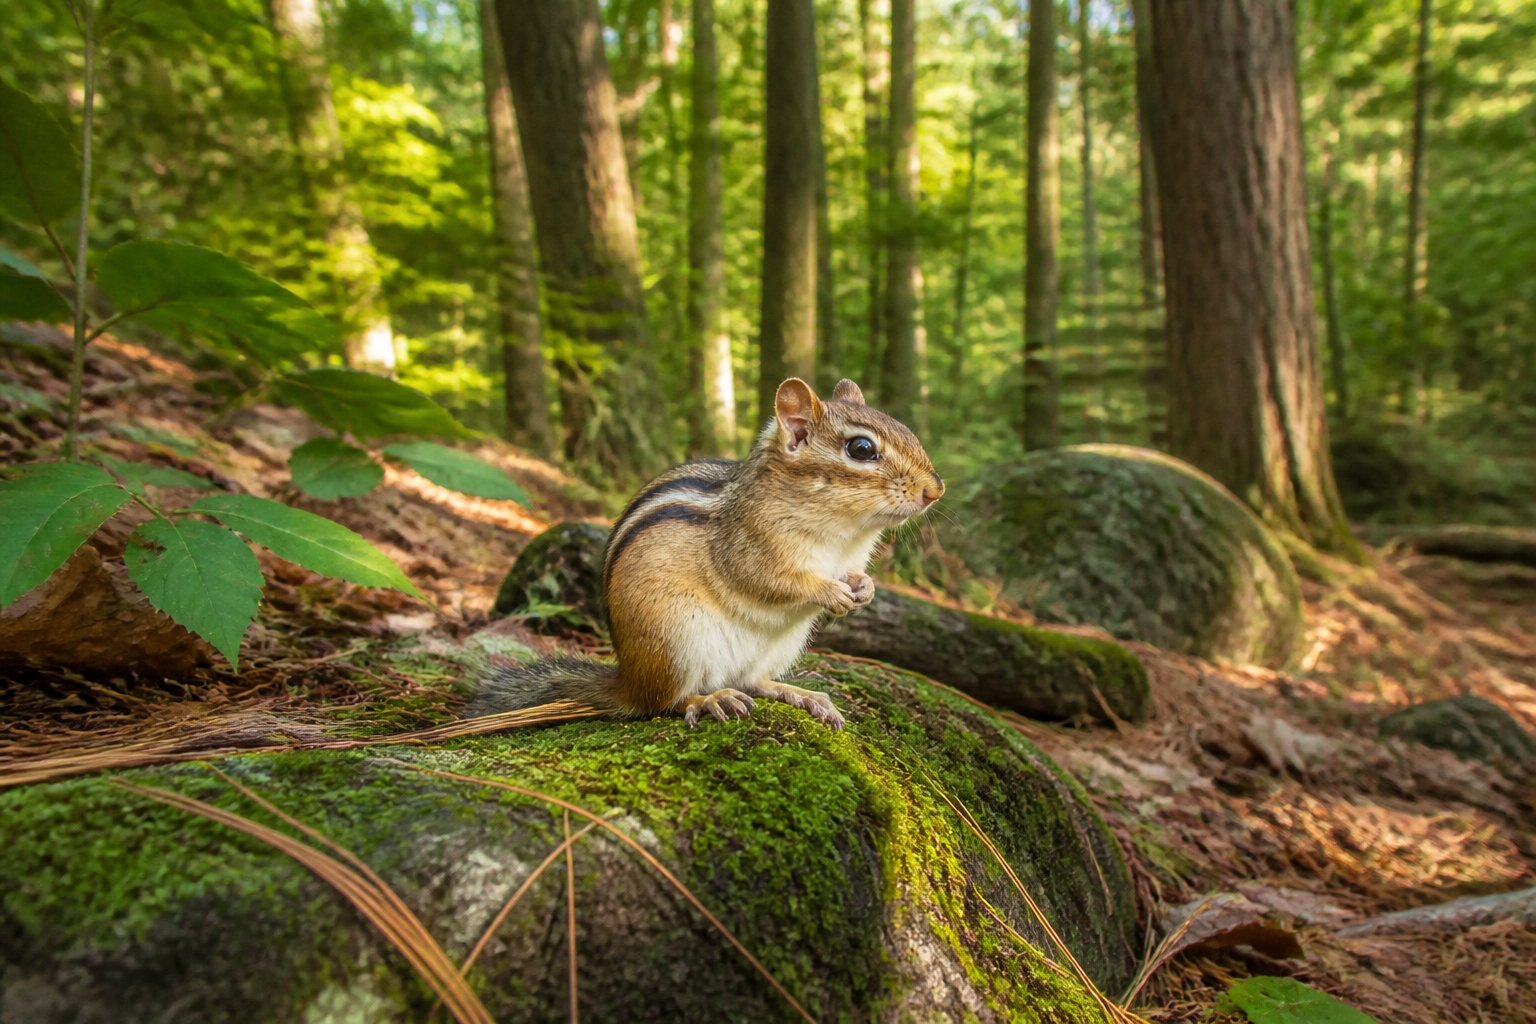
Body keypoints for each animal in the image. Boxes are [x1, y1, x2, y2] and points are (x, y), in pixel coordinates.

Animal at [464, 376, 944, 729]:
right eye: (861, 449)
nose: (935, 490)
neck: (844, 532)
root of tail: (628, 680)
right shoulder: (749, 546)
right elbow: (772, 580)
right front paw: (831, 593)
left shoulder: (849, 557)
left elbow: (855, 575)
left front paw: (865, 589)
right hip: (677, 641)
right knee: (664, 703)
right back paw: (709, 700)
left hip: (781, 646)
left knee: (753, 681)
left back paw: (798, 694)